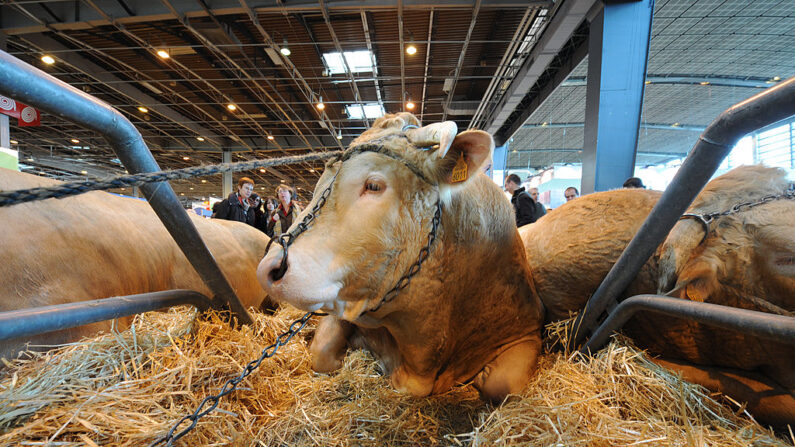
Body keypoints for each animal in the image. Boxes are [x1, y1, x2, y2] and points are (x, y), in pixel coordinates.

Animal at [258, 113, 544, 402]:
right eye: (317, 187)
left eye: (373, 185)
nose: (267, 268)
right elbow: (323, 352)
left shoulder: (528, 330)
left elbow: (503, 384)